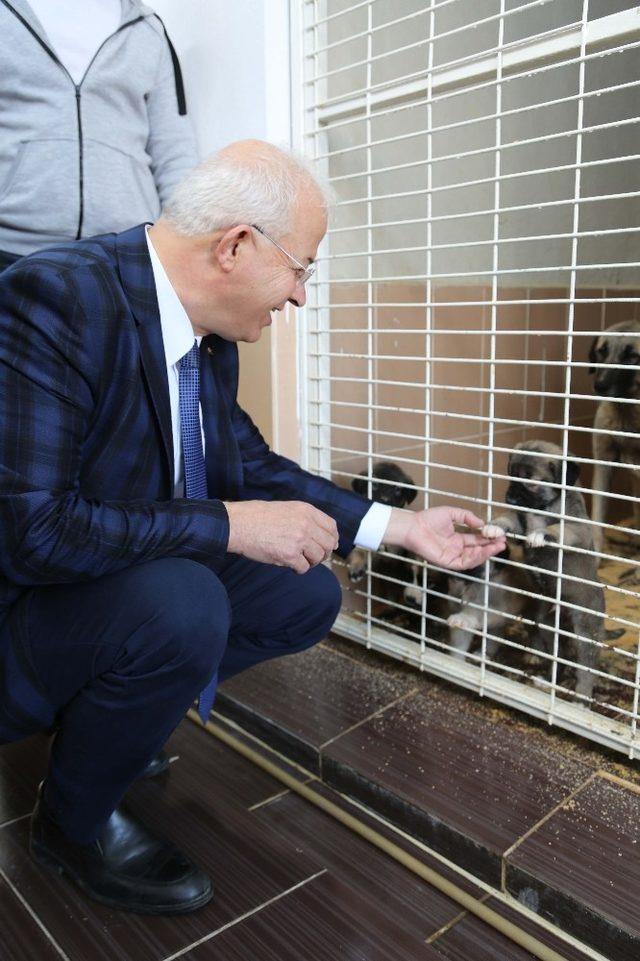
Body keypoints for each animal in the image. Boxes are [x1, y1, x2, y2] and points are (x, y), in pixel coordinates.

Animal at [484, 440, 604, 696]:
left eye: (531, 481)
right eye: (511, 475)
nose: (509, 497)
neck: (543, 507)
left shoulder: (577, 529)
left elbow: (559, 529)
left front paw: (542, 534)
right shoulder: (520, 524)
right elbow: (510, 520)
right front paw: (495, 526)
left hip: (585, 631)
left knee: (585, 670)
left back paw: (581, 697)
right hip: (547, 626)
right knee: (559, 658)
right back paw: (548, 681)